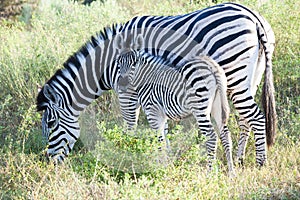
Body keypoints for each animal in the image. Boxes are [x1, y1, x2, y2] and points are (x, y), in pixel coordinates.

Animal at [116, 43, 233, 173]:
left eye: (134, 63)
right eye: (118, 63)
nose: (123, 85)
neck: (147, 79)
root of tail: (210, 65)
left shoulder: (153, 113)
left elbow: (159, 141)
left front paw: (160, 168)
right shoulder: (162, 115)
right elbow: (164, 139)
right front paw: (166, 164)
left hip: (200, 108)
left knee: (211, 136)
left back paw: (210, 172)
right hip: (217, 105)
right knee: (225, 134)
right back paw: (231, 172)